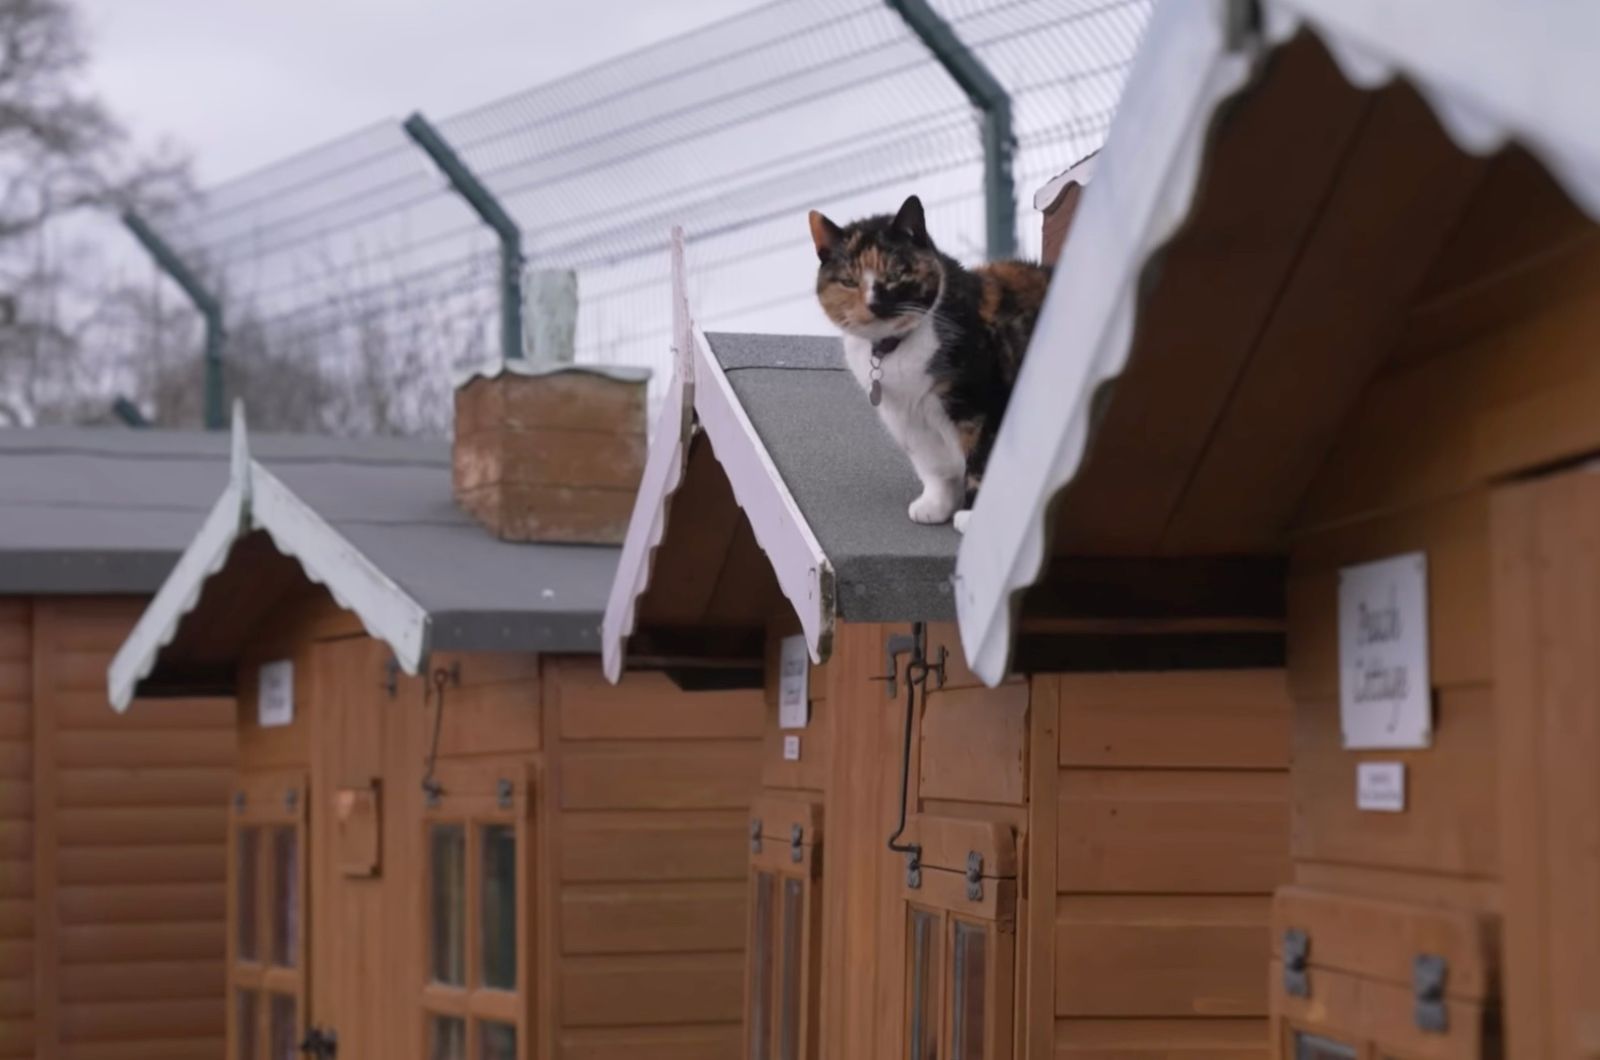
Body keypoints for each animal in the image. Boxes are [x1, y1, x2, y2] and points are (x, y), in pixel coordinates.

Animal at [812, 194, 1049, 531]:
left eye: (896, 274)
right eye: (849, 281)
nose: (873, 304)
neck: (894, 349)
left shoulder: (983, 402)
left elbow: (982, 458)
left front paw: (974, 516)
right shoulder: (907, 418)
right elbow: (932, 467)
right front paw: (935, 505)